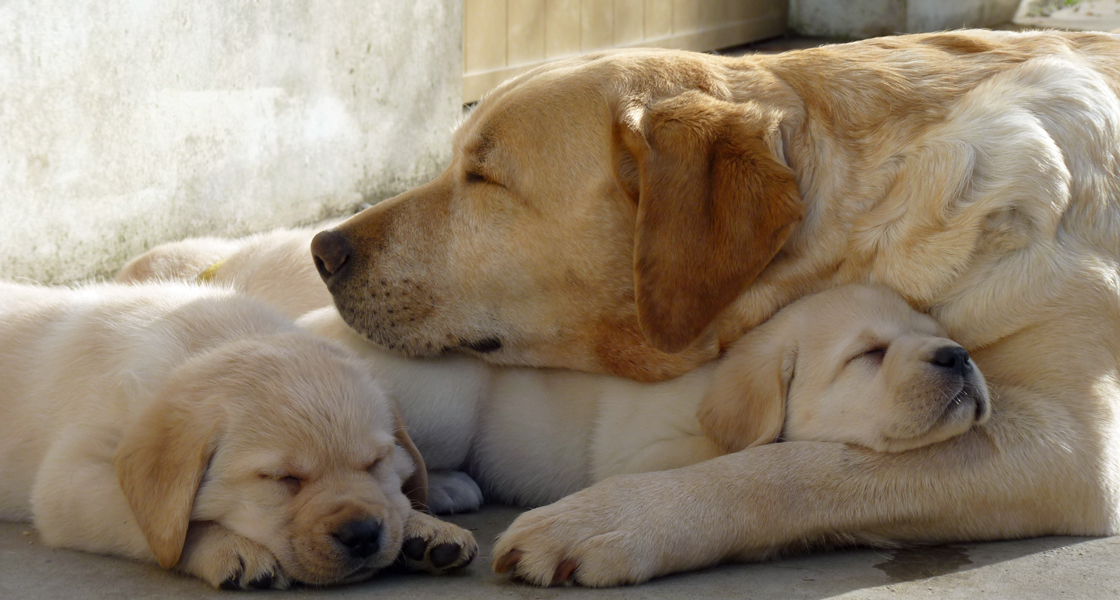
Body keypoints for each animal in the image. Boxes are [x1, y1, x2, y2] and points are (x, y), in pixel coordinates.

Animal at [0, 282, 477, 591]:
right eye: (282, 479)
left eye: (375, 462)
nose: (361, 534)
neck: (213, 337)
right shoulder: (68, 480)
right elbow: (157, 522)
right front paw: (228, 547)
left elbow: (396, 498)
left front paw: (423, 527)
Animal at [115, 233, 990, 510]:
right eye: (868, 356)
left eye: (940, 336)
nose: (959, 358)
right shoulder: (648, 453)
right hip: (445, 395)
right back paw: (455, 490)